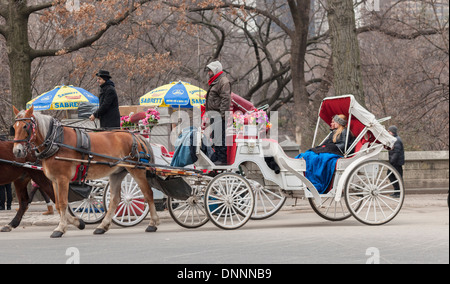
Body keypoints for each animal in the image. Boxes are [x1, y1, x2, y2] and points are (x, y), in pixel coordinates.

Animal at [11, 106, 160, 237]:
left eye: (25, 126)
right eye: (14, 127)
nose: (17, 151)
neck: (56, 142)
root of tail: (136, 136)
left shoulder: (62, 179)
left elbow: (63, 203)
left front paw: (60, 228)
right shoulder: (54, 180)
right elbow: (58, 204)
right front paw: (78, 222)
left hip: (137, 170)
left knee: (148, 194)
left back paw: (153, 223)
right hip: (117, 173)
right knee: (115, 199)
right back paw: (102, 226)